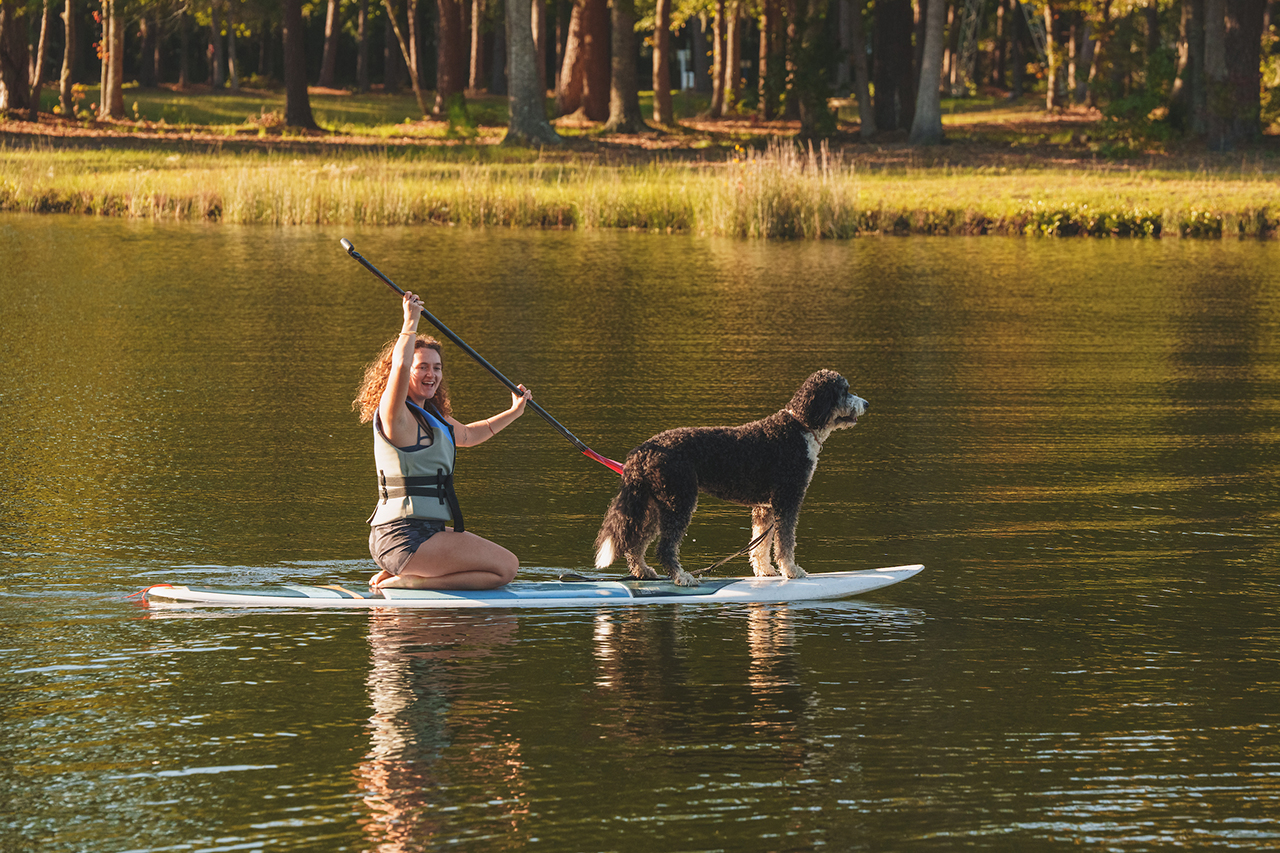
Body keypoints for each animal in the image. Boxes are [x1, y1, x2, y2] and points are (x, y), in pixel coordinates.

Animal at [593, 371, 865, 584]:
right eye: (845, 391)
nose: (867, 403)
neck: (799, 427)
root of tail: (643, 450)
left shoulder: (765, 507)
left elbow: (761, 544)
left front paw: (765, 571)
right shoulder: (788, 499)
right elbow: (785, 542)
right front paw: (792, 570)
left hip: (654, 505)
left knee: (635, 545)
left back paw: (643, 572)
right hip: (678, 501)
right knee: (665, 547)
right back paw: (682, 577)